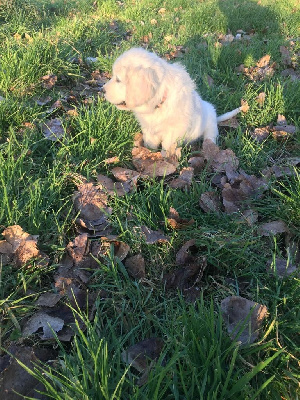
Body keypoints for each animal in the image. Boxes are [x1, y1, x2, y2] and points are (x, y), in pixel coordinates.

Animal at [104, 47, 240, 153]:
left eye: (118, 80)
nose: (102, 89)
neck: (160, 103)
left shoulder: (173, 132)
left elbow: (167, 147)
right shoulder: (149, 129)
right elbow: (150, 143)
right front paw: (149, 152)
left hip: (210, 127)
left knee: (210, 138)